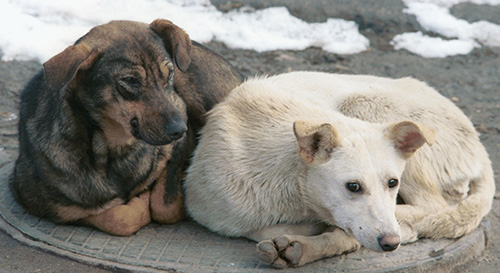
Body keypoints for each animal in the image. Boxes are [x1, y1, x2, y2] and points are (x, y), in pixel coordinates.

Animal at [8, 19, 242, 235]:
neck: (113, 151)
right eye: (130, 80)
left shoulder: (179, 125)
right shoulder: (47, 204)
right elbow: (118, 218)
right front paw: (140, 200)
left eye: (169, 75)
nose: (179, 129)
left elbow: (164, 206)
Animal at [183, 71, 492, 266]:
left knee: (434, 205)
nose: (390, 243)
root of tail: (480, 145)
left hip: (366, 104)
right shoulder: (211, 213)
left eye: (393, 183)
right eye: (353, 186)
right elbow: (265, 228)